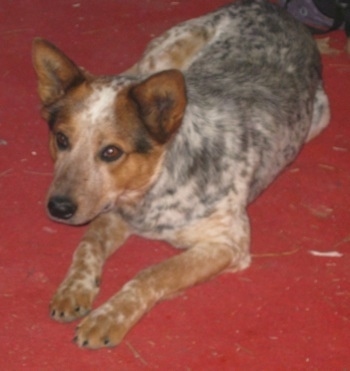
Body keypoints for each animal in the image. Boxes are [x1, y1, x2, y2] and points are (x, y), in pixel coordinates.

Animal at [31, 0, 330, 348]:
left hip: (319, 115)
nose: (58, 208)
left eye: (111, 152)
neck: (154, 185)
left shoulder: (227, 242)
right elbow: (88, 243)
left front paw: (108, 317)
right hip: (161, 56)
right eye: (61, 139)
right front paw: (74, 288)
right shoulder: (112, 210)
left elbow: (153, 272)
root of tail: (275, 9)